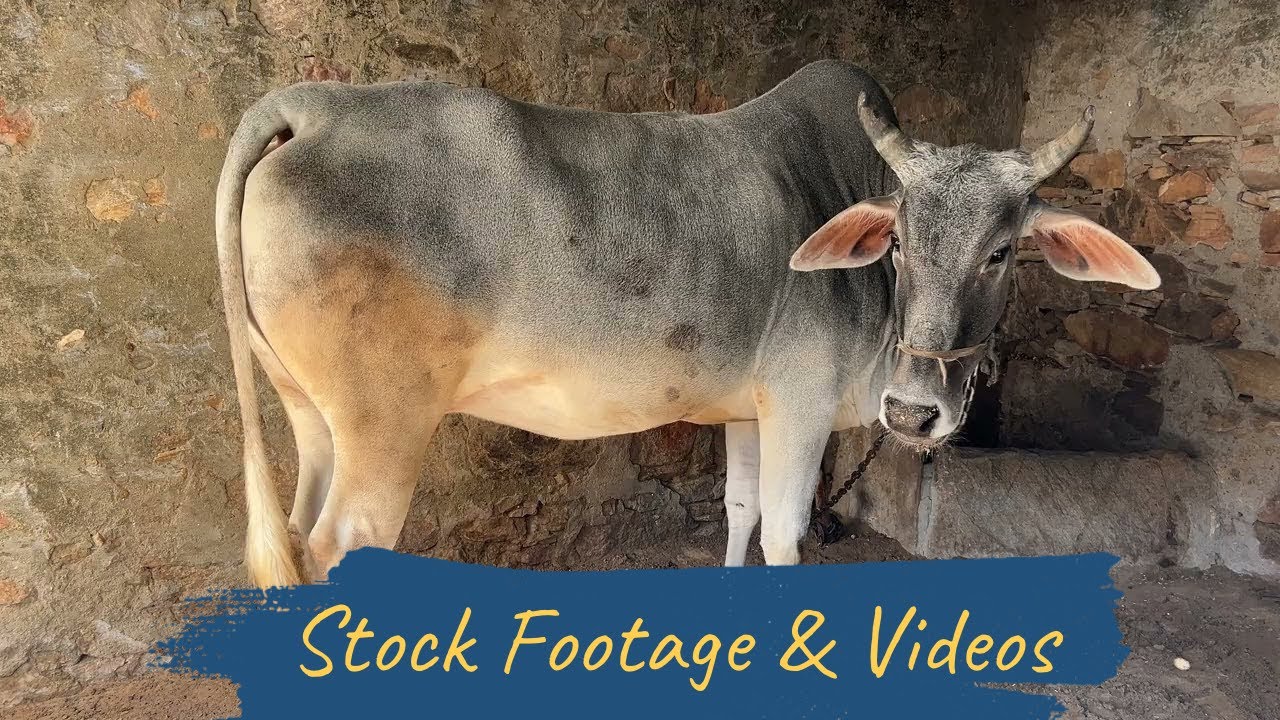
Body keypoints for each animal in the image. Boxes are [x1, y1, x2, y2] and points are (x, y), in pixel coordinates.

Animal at [215, 60, 1159, 587]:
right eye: (898, 243)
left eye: (1002, 250)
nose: (914, 412)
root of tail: (314, 105)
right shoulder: (799, 407)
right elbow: (784, 535)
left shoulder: (747, 410)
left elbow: (738, 512)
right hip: (386, 425)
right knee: (336, 547)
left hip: (311, 416)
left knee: (294, 539)